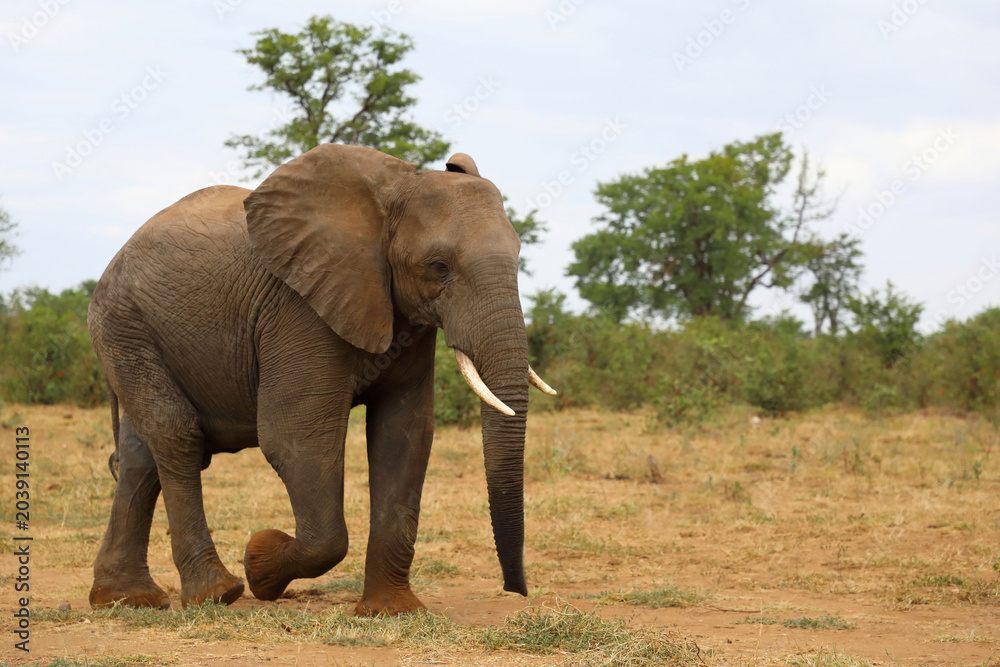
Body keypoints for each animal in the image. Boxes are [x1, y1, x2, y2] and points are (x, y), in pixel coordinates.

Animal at [86, 144, 556, 615]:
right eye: (439, 266)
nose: (516, 590)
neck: (388, 198)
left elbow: (404, 434)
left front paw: (391, 610)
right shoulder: (298, 309)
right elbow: (295, 438)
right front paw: (259, 562)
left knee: (141, 457)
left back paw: (126, 599)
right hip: (123, 327)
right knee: (177, 436)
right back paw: (218, 593)